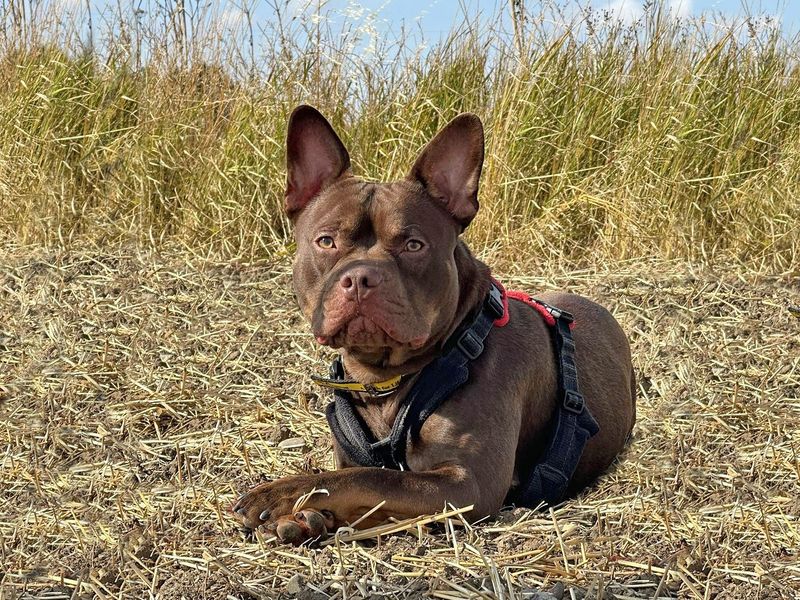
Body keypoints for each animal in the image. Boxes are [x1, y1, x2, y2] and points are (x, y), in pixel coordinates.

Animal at [233, 105, 636, 548]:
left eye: (414, 245)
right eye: (326, 241)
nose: (361, 277)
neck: (383, 380)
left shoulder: (468, 484)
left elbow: (371, 479)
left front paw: (286, 494)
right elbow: (354, 476)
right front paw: (307, 517)